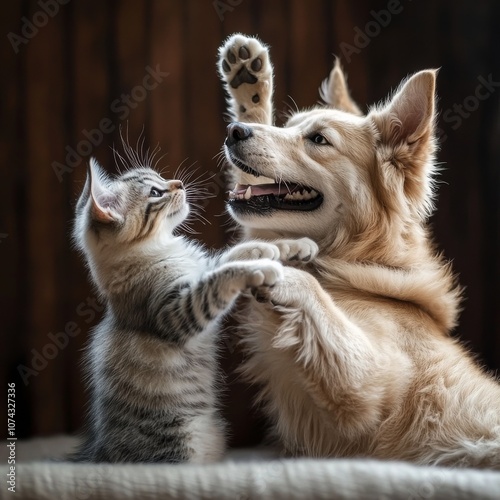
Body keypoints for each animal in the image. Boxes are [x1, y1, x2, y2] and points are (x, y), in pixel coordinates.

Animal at [70, 157, 292, 464]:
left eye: (160, 178)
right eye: (155, 192)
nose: (179, 184)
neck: (160, 248)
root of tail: (100, 454)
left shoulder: (202, 269)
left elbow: (235, 254)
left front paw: (289, 245)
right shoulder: (176, 310)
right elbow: (226, 273)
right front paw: (262, 268)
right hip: (180, 448)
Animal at [216, 34, 500, 468]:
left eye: (318, 139)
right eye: (287, 127)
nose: (234, 132)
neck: (357, 262)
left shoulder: (366, 386)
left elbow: (312, 290)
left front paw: (279, 270)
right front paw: (249, 84)